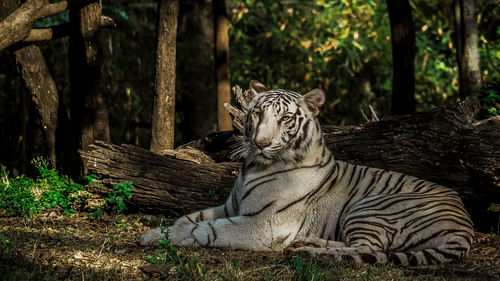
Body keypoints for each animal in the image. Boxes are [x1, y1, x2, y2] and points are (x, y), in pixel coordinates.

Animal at [140, 80, 472, 264]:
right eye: (256, 113)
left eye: (285, 118)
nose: (260, 143)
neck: (252, 167)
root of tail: (464, 224)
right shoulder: (231, 207)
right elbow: (191, 218)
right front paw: (165, 228)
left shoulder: (261, 225)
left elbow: (204, 229)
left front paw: (153, 236)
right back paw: (308, 243)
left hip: (370, 207)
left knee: (366, 250)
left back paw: (307, 252)